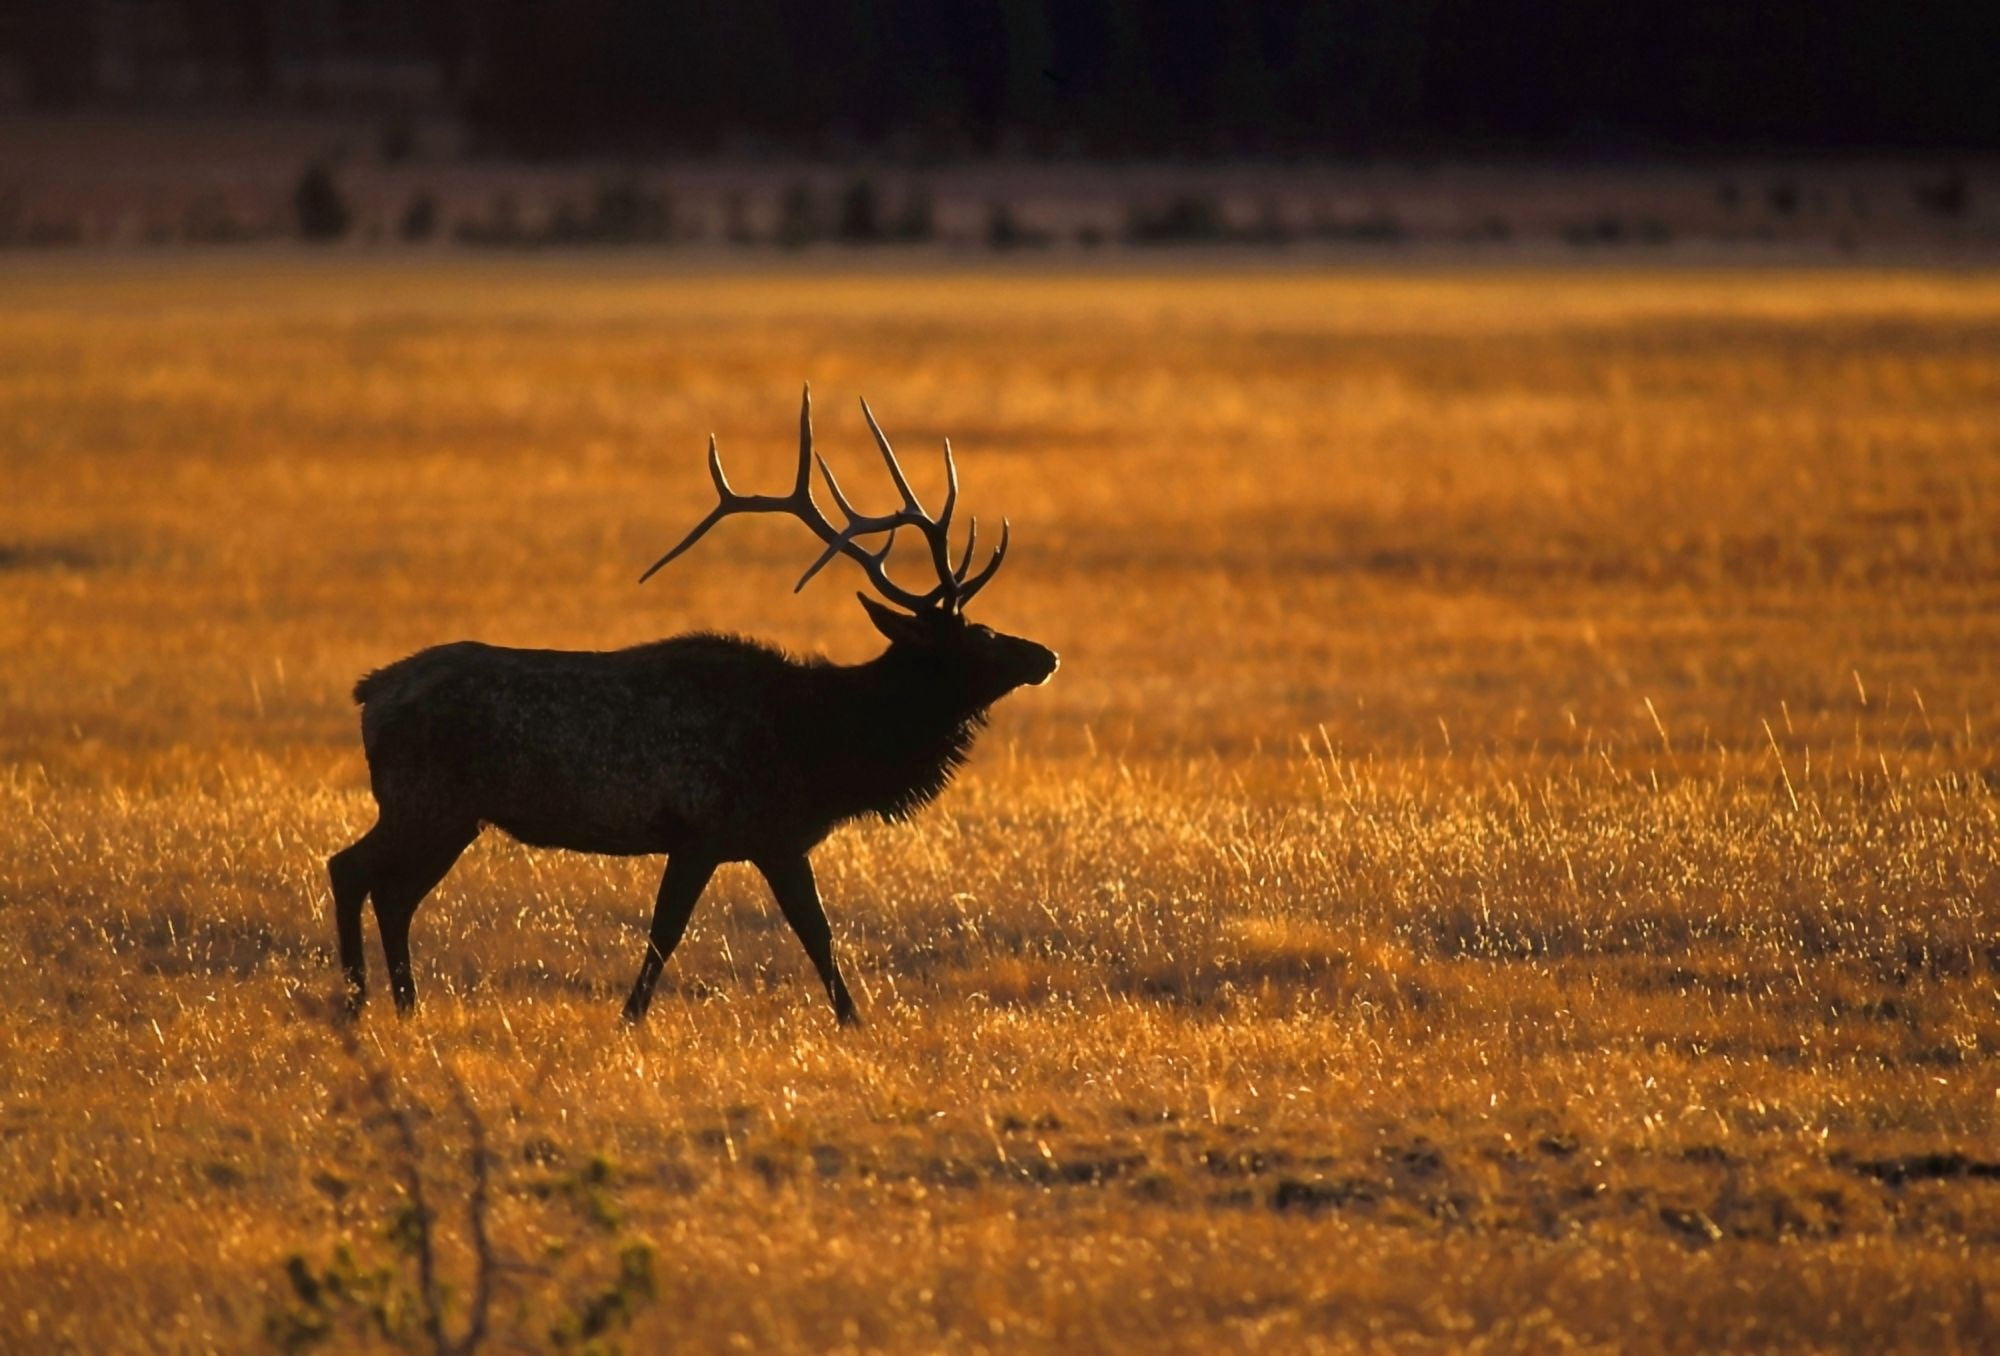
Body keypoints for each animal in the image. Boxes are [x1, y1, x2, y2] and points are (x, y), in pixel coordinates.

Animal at [328, 387, 1057, 1026]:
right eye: (978, 636)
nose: (1044, 655)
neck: (821, 746)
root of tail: (369, 693)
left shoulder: (767, 837)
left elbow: (808, 932)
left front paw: (851, 1019)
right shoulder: (714, 828)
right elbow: (689, 932)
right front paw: (633, 1018)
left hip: (453, 814)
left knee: (393, 892)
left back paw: (404, 1005)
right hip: (427, 799)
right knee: (351, 870)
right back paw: (358, 1003)